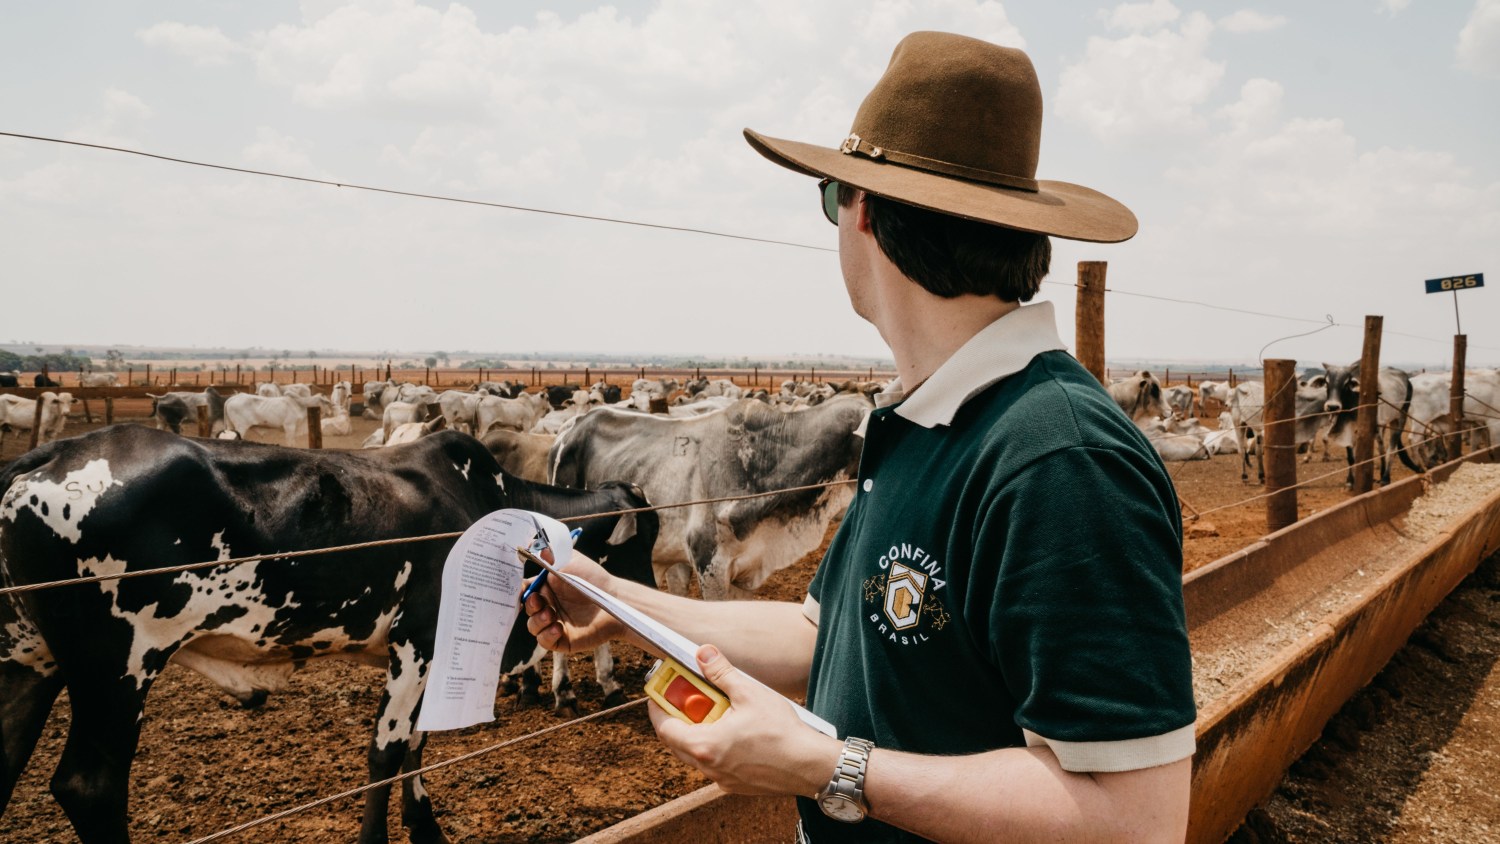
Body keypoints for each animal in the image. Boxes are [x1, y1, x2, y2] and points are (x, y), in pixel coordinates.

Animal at [0, 428, 657, 844]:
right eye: (636, 545)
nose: (651, 602)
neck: (492, 505)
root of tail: (49, 455)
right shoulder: (418, 642)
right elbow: (387, 751)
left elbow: (416, 743)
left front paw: (426, 829)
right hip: (117, 669)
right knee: (90, 788)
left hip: (29, 662)